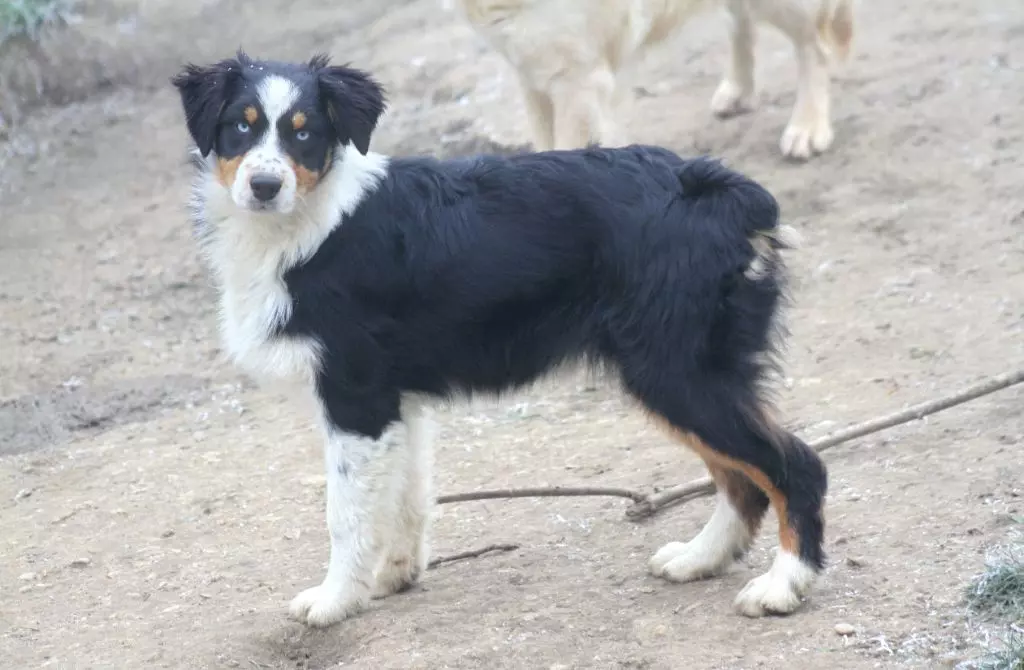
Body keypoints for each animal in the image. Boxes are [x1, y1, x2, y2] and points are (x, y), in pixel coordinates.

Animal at [172, 52, 827, 631]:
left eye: (305, 134)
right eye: (240, 127)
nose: (263, 185)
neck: (310, 222)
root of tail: (722, 191)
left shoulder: (355, 398)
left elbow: (347, 513)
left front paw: (335, 601)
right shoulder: (398, 401)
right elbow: (407, 496)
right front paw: (395, 575)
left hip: (676, 371)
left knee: (795, 465)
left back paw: (782, 585)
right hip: (682, 373)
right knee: (742, 481)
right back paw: (700, 558)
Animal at [448, 0, 856, 159]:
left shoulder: (576, 82)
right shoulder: (530, 74)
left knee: (815, 46)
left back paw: (807, 127)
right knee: (739, 20)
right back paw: (739, 89)